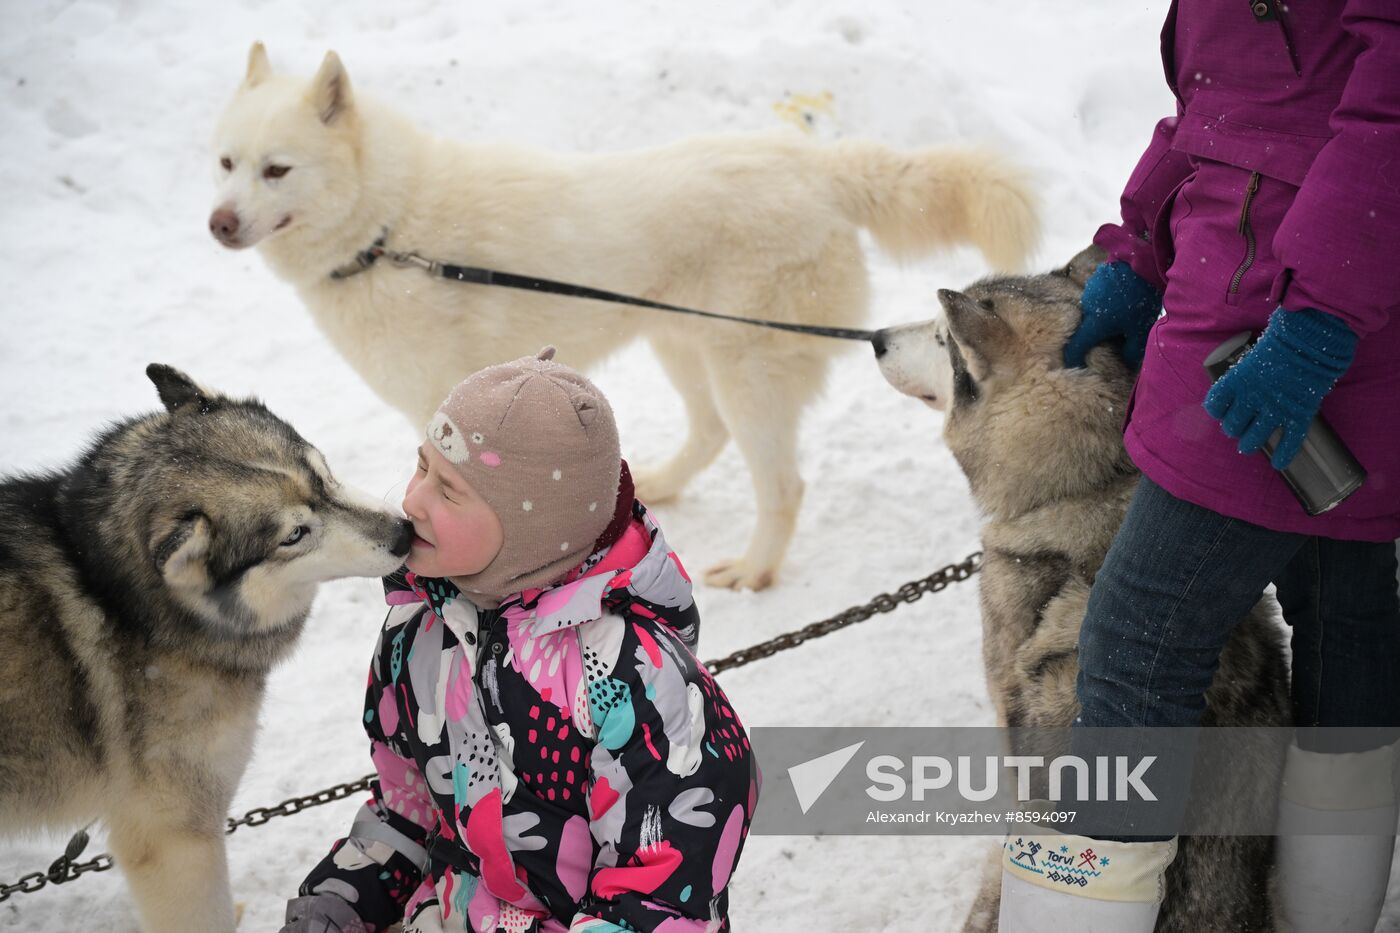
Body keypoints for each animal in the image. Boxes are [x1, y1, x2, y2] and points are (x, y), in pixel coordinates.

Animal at [210, 43, 1041, 588]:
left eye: (276, 169)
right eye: (225, 163)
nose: (218, 223)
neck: (391, 227)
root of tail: (812, 163)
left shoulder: (438, 399)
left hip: (748, 370)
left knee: (782, 483)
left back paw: (754, 568)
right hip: (683, 344)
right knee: (707, 435)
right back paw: (662, 483)